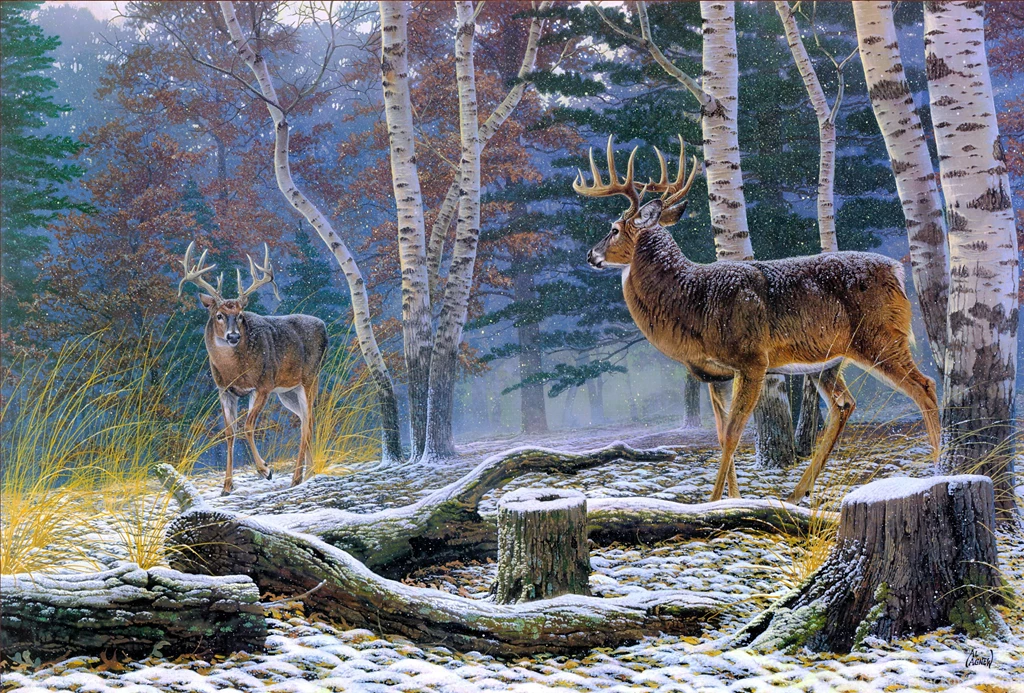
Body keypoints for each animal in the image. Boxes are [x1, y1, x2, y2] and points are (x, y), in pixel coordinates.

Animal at [178, 242, 328, 495]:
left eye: (239, 315)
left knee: (307, 424)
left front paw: (265, 470)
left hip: (310, 378)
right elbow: (229, 432)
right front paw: (226, 486)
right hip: (288, 392)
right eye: (219, 315)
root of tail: (323, 325)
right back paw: (307, 474)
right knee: (307, 421)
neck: (235, 370)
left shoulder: (263, 385)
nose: (233, 336)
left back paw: (296, 478)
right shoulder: (224, 390)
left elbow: (248, 426)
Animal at [573, 136, 941, 503]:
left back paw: (939, 466)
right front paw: (731, 499)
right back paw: (797, 493)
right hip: (828, 361)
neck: (692, 300)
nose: (590, 254)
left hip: (881, 337)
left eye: (614, 229)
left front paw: (713, 501)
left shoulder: (752, 359)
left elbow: (734, 432)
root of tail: (896, 271)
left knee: (925, 386)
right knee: (844, 404)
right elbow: (721, 433)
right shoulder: (714, 373)